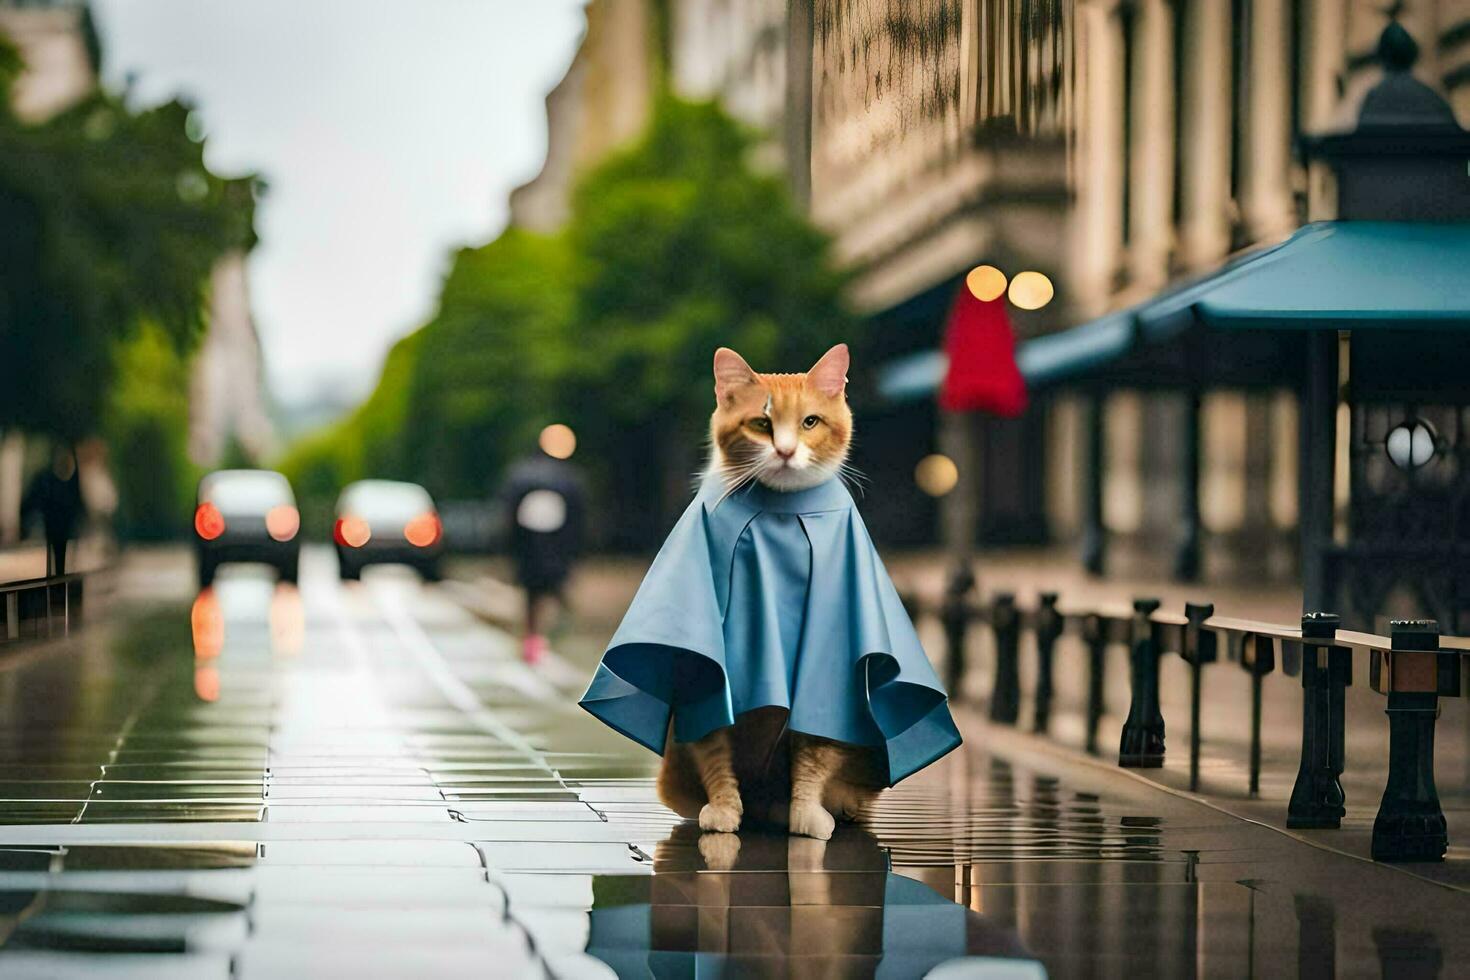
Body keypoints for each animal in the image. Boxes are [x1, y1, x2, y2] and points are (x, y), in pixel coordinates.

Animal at [655, 340, 882, 840]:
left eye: (810, 422)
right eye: (761, 424)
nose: (784, 450)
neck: (780, 511)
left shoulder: (826, 673)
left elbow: (814, 750)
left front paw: (805, 813)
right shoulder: (708, 672)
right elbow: (715, 748)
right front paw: (723, 810)